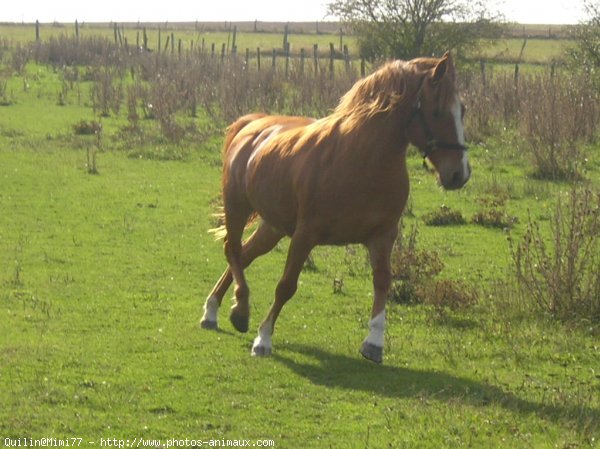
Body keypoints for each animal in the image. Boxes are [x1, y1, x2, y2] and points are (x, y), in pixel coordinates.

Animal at [202, 51, 468, 364]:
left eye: (462, 110)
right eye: (437, 112)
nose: (459, 174)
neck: (362, 159)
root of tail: (250, 124)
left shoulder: (383, 236)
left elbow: (383, 282)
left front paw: (374, 342)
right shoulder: (305, 235)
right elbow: (286, 286)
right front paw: (263, 339)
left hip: (273, 227)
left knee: (244, 255)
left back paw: (218, 308)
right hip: (237, 208)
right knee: (232, 250)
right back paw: (233, 311)